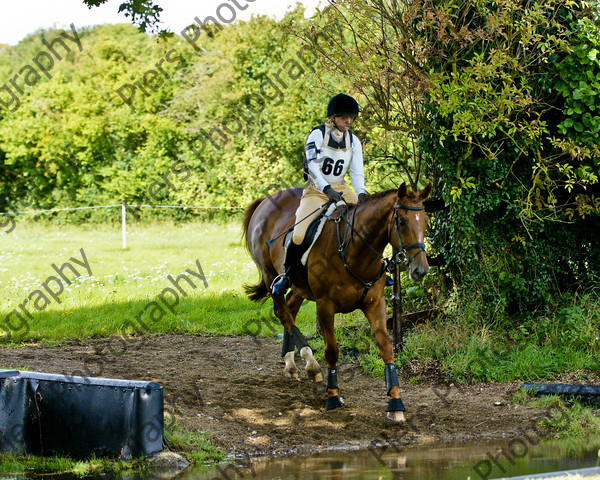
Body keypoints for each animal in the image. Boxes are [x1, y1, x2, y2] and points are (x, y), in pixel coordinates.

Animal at [243, 182, 432, 422]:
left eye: (425, 220)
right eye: (402, 221)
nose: (420, 270)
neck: (355, 251)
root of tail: (266, 200)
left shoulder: (375, 305)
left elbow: (387, 349)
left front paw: (395, 403)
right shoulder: (325, 306)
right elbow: (332, 350)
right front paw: (333, 395)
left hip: (299, 288)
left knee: (290, 310)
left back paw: (291, 363)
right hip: (270, 276)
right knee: (282, 312)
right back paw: (311, 364)